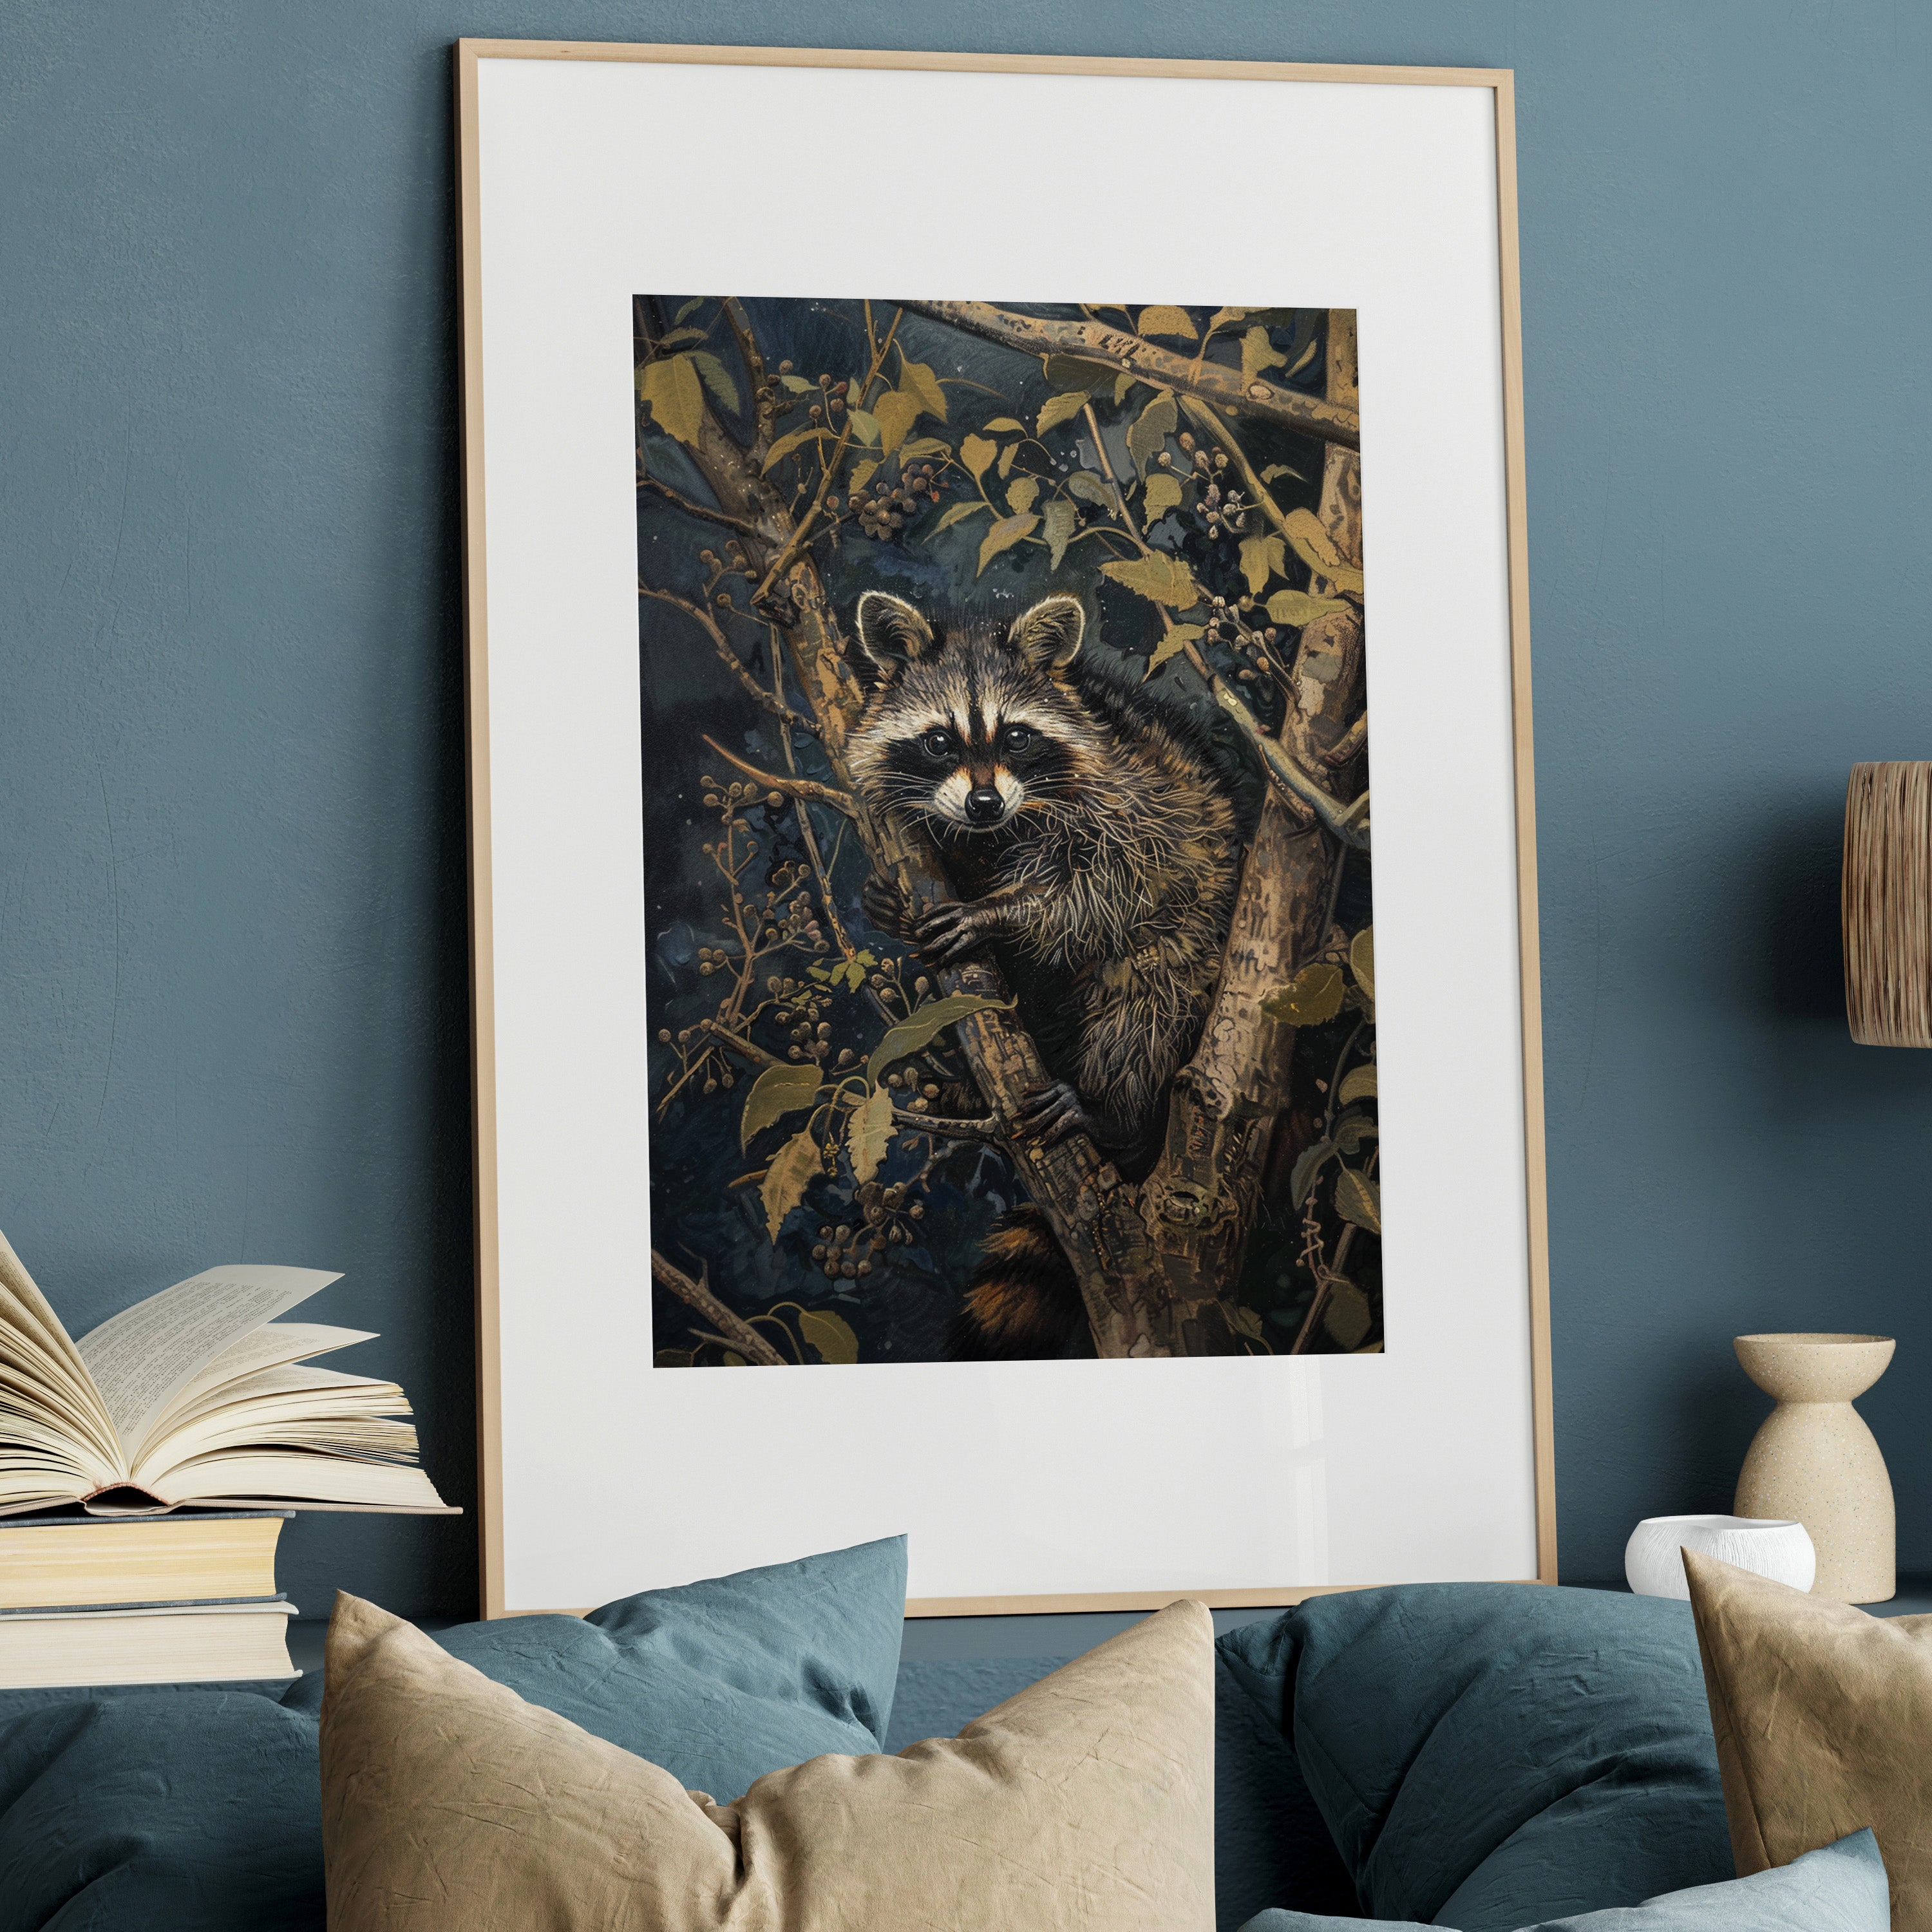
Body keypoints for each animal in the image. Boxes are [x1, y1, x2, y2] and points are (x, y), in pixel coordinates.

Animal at [845, 591, 1243, 1360]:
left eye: (1017, 738)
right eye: (939, 741)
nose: (983, 804)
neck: (1002, 827)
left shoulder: (1134, 803)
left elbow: (1100, 890)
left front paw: (1001, 911)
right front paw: (894, 903)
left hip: (1194, 945)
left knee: (1145, 1007)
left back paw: (1111, 1110)